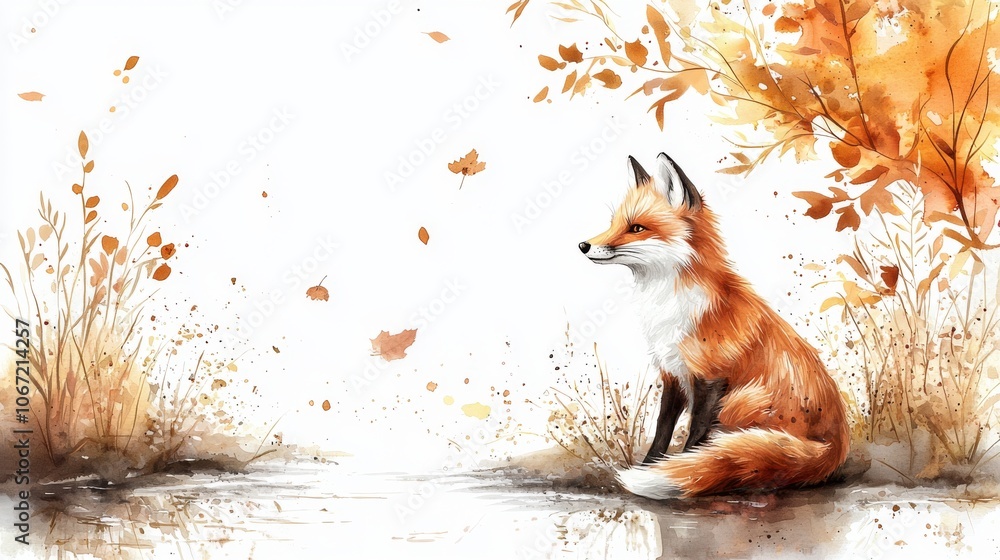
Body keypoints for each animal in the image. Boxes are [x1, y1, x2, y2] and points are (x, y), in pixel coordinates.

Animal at [578, 152, 849, 498]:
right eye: (612, 224)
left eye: (636, 228)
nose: (583, 245)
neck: (669, 306)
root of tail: (834, 447)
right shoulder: (673, 374)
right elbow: (662, 430)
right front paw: (650, 466)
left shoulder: (710, 377)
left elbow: (695, 434)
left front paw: (684, 466)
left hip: (738, 401)